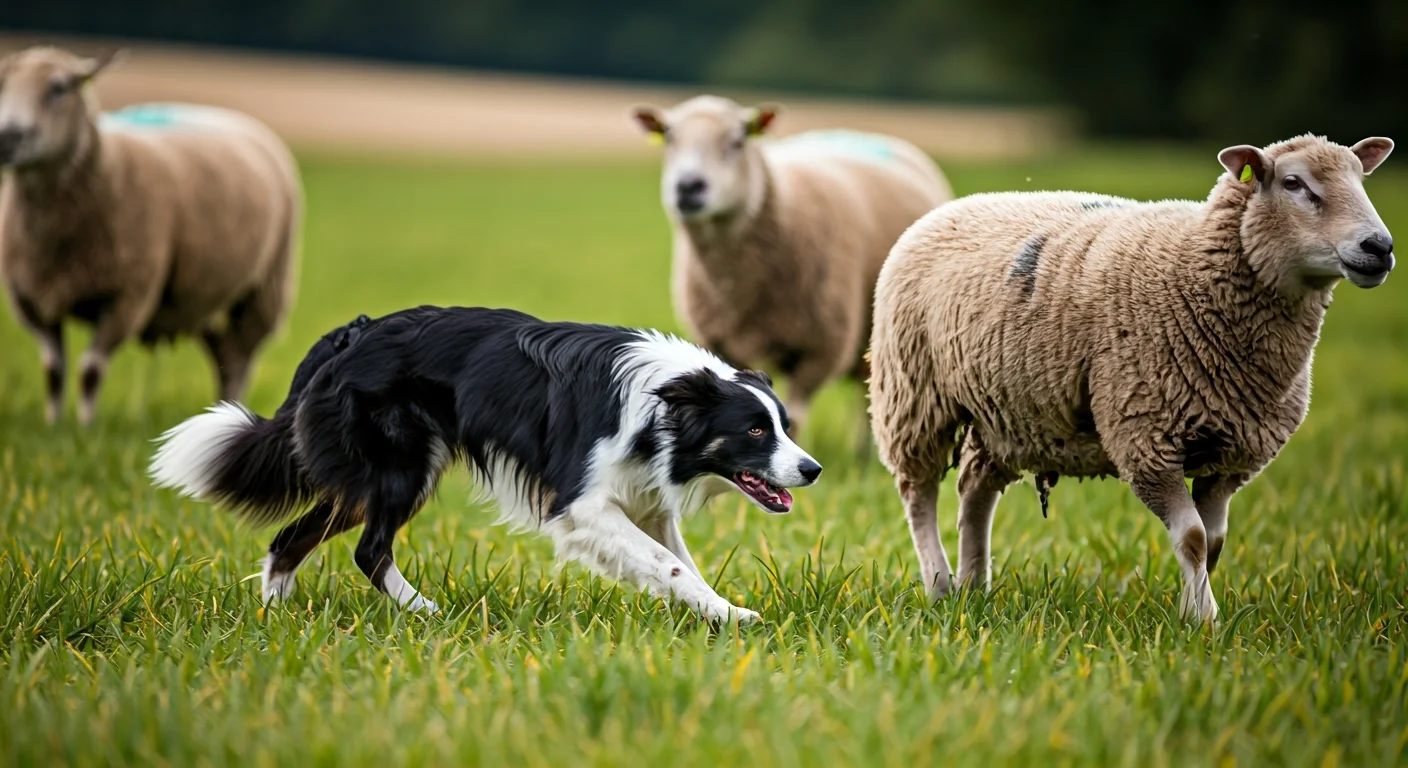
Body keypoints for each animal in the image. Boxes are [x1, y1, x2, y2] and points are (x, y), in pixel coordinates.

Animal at [0, 46, 301, 424]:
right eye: (2, 84)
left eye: (59, 87)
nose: (7, 137)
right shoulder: (30, 300)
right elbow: (53, 372)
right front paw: (52, 425)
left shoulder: (128, 295)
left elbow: (90, 370)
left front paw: (85, 427)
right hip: (206, 293)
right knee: (223, 356)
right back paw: (222, 408)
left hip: (262, 291)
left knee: (238, 360)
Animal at [632, 96, 952, 447]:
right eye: (669, 136)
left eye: (739, 139)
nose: (689, 187)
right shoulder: (722, 344)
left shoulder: (819, 349)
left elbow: (794, 417)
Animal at [868, 134, 1396, 623]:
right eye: (1293, 184)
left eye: (1360, 179)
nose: (1381, 247)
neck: (1195, 270)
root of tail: (952, 206)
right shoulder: (1147, 438)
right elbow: (1193, 537)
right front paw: (1205, 621)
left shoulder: (1229, 455)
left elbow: (1214, 541)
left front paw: (1193, 609)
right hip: (914, 394)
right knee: (919, 494)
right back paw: (940, 584)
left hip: (1003, 415)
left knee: (975, 491)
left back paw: (975, 586)